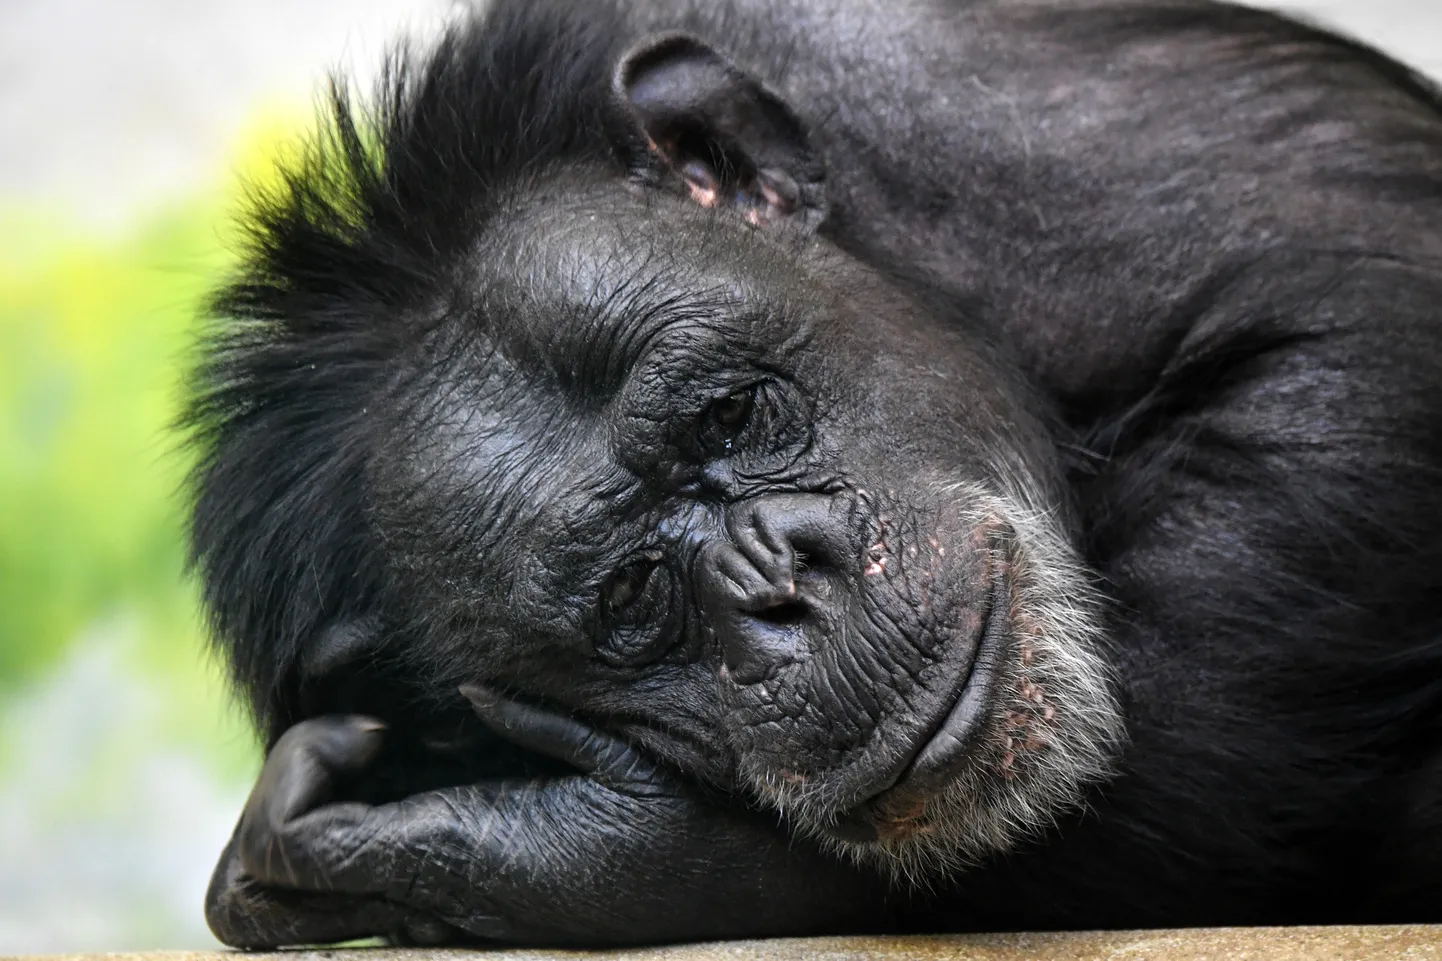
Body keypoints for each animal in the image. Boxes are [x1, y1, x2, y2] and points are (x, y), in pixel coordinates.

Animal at [186, 0, 1442, 946]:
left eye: (731, 412)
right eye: (631, 600)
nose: (777, 584)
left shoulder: (994, 127)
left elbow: (1357, 341)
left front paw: (588, 855)